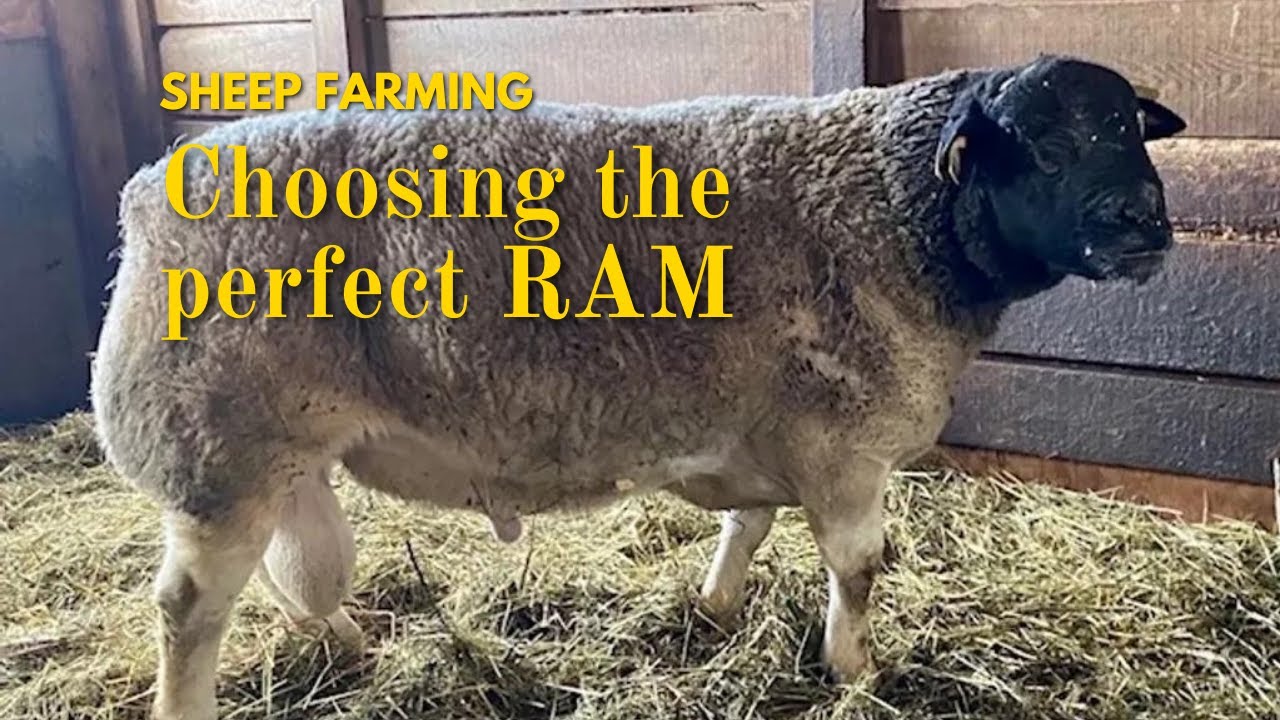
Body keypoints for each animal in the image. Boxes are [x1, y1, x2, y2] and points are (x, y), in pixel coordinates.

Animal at [90, 53, 1187, 720]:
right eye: (1041, 142)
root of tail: (147, 192)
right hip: (212, 442)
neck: (896, 207)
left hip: (272, 451)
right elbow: (859, 568)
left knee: (295, 576)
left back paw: (351, 644)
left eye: (1132, 127)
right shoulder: (843, 441)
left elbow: (746, 523)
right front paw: (855, 669)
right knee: (189, 607)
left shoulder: (764, 419)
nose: (1142, 222)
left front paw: (715, 607)